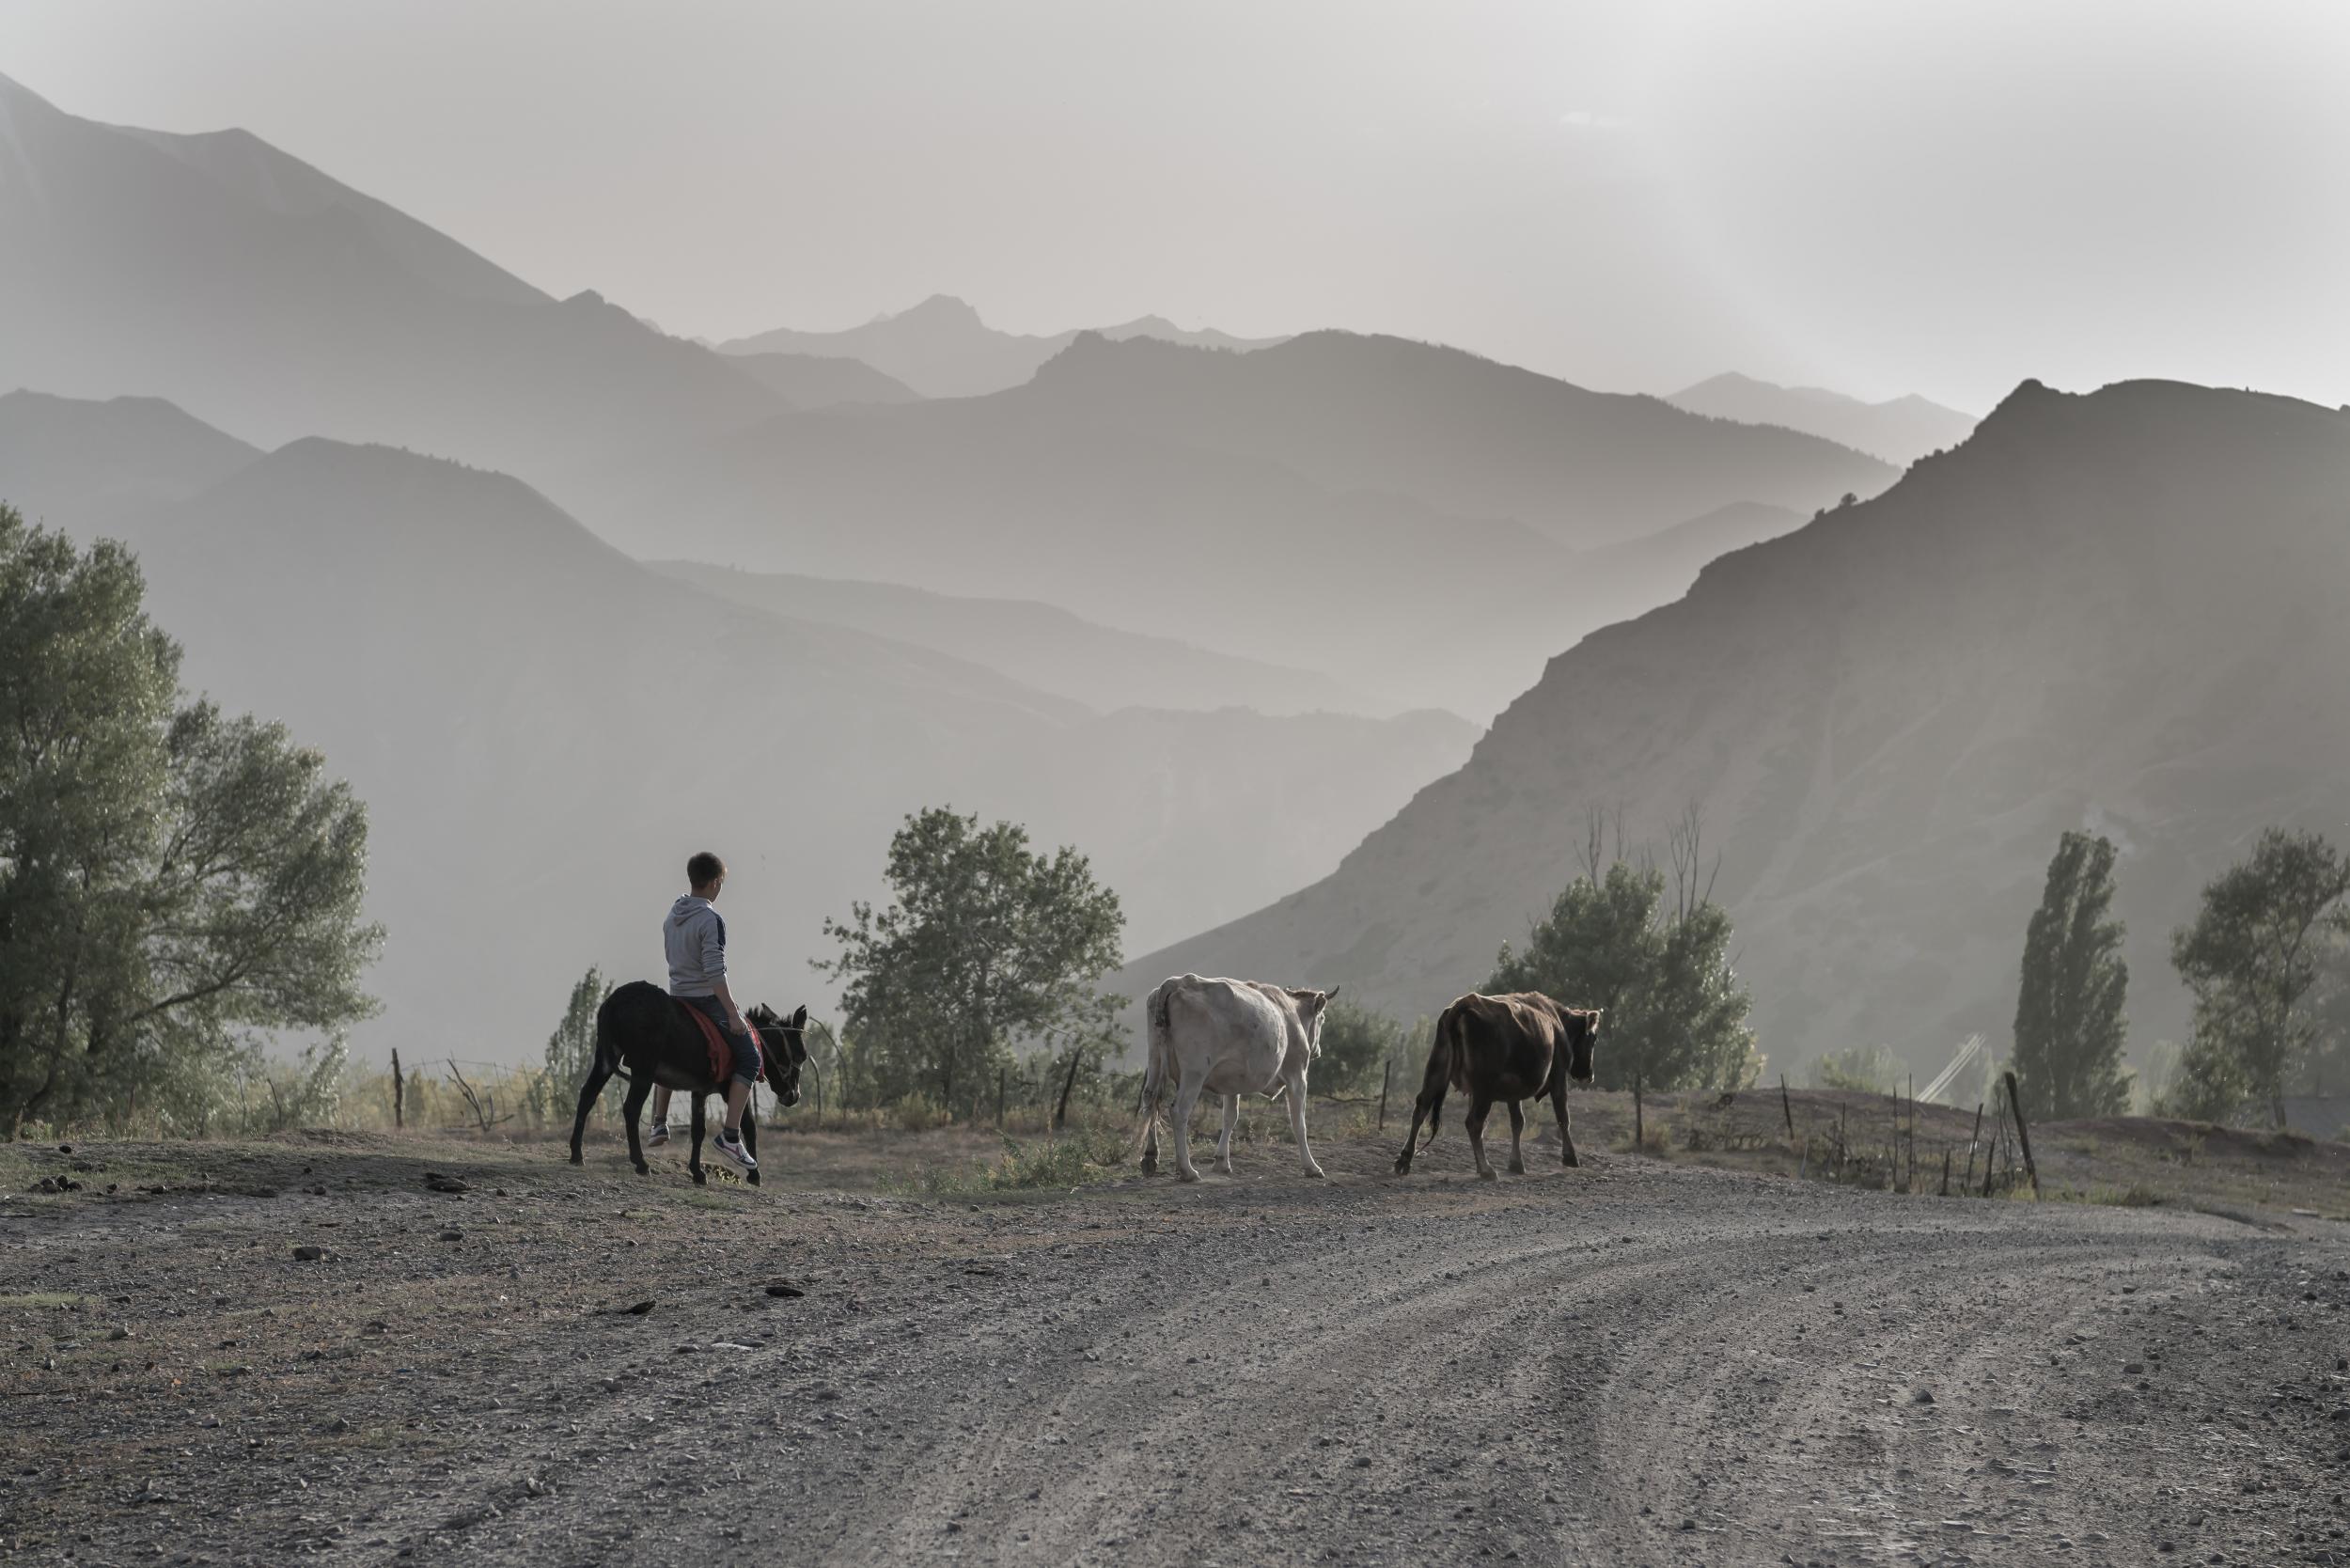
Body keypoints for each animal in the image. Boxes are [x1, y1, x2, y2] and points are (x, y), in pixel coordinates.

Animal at [1137, 973, 1344, 1184]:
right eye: (1323, 1018)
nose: (1317, 1051)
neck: (1290, 1015)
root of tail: (1176, 981)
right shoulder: (1297, 1076)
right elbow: (1299, 1124)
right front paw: (1312, 1166)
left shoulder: (1231, 1082)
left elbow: (1230, 1117)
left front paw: (1222, 1161)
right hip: (1194, 1072)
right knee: (1179, 1111)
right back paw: (1187, 1170)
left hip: (1155, 1060)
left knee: (1150, 1100)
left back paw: (1150, 1157)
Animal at [1382, 992, 1607, 1175]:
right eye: (1593, 1038)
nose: (1589, 1075)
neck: (1556, 1022)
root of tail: (1463, 1004)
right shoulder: (1559, 1077)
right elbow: (1563, 1118)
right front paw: (1571, 1157)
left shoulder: (1513, 1090)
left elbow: (1518, 1122)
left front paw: (1516, 1163)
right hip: (1483, 1090)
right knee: (1474, 1123)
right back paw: (1486, 1169)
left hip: (1437, 1072)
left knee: (1421, 1108)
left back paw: (1404, 1160)